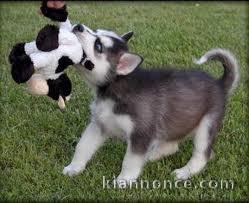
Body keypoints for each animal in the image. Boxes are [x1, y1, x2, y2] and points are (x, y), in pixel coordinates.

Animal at [62, 23, 239, 184]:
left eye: (98, 46)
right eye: (95, 30)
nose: (78, 26)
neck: (114, 90)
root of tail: (219, 83)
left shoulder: (141, 134)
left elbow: (130, 160)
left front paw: (124, 180)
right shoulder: (99, 124)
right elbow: (82, 146)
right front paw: (73, 168)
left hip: (207, 125)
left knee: (203, 154)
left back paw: (184, 172)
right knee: (173, 145)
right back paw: (152, 155)